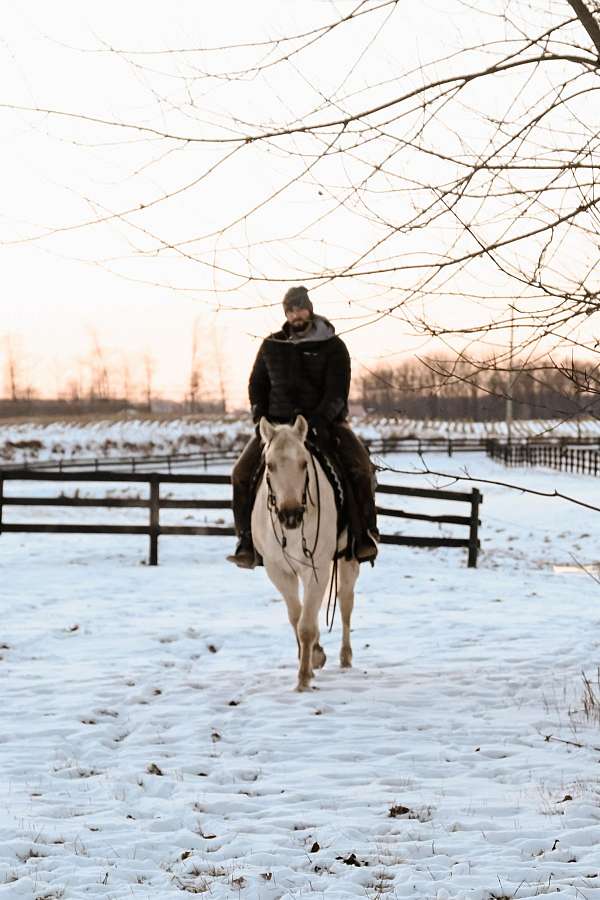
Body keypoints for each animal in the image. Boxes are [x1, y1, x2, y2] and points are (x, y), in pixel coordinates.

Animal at [251, 412, 358, 692]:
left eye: (303, 463)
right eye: (270, 465)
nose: (290, 515)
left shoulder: (317, 566)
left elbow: (306, 626)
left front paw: (302, 680)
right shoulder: (278, 570)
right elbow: (296, 616)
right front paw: (312, 659)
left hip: (348, 562)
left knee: (345, 603)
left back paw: (346, 657)